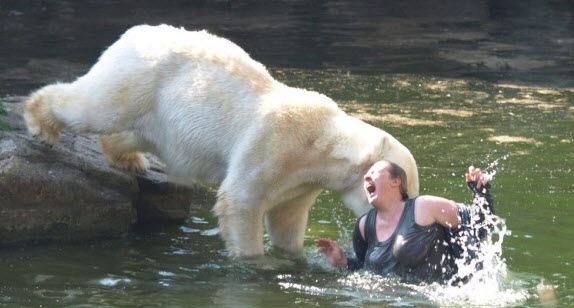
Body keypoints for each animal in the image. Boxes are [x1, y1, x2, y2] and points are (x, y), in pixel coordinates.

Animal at [23, 24, 418, 258]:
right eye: (405, 189)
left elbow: (287, 217)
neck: (321, 143)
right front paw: (253, 261)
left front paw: (292, 257)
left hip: (160, 113)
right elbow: (241, 199)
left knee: (135, 132)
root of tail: (133, 32)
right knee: (96, 106)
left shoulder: (301, 182)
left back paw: (129, 159)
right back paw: (41, 123)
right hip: (140, 76)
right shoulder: (274, 144)